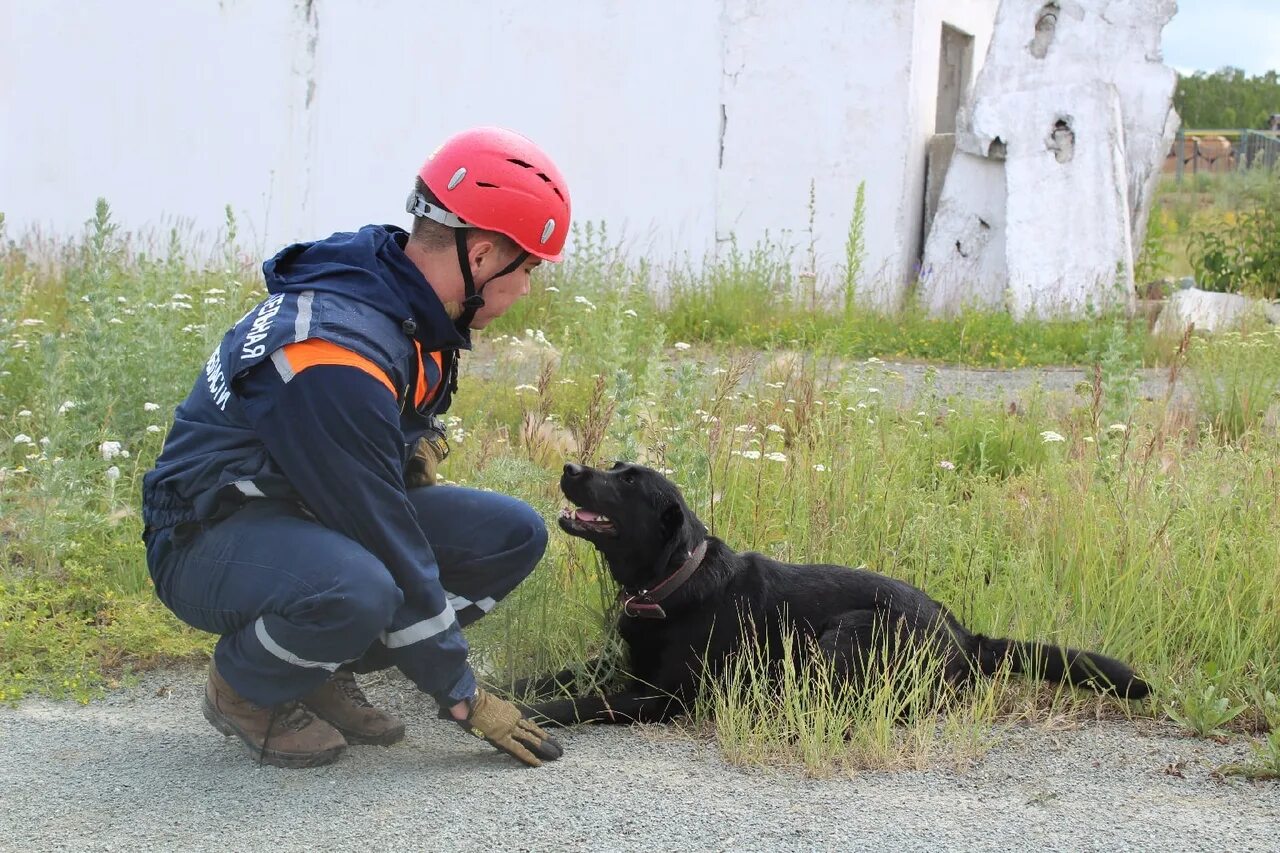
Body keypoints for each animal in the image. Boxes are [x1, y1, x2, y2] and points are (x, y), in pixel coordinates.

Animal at [524, 458, 1157, 722]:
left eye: (628, 482)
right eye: (614, 465)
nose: (570, 466)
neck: (673, 581)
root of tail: (966, 636)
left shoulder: (659, 697)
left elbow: (581, 701)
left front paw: (531, 715)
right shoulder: (622, 665)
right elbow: (553, 676)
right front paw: (512, 690)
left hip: (845, 634)